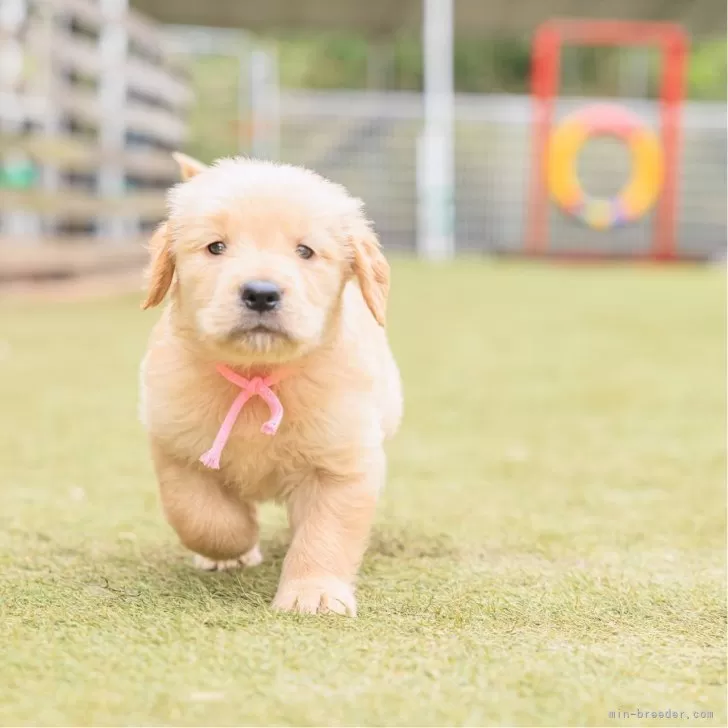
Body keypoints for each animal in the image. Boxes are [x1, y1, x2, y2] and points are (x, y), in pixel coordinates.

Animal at [139, 152, 400, 616]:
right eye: (216, 247)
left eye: (305, 251)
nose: (261, 293)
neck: (256, 375)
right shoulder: (176, 448)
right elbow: (204, 516)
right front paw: (235, 546)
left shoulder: (343, 464)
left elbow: (324, 533)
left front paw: (314, 592)